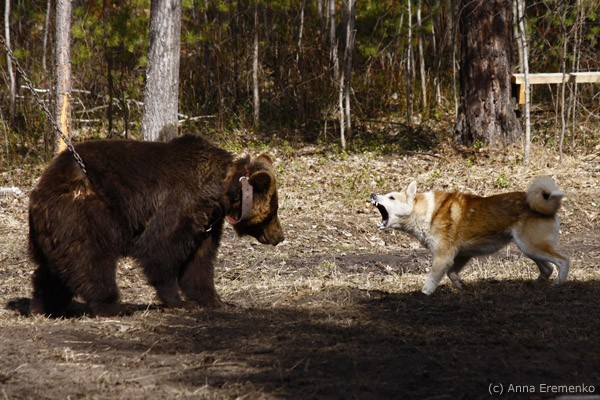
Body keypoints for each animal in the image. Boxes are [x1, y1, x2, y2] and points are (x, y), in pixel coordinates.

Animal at [18, 134, 284, 317]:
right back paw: (112, 305)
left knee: (53, 269)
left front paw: (214, 299)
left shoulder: (207, 223)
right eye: (274, 210)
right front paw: (178, 300)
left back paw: (42, 305)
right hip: (86, 215)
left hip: (55, 231)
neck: (221, 193)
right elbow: (159, 248)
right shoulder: (183, 202)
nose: (279, 236)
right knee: (90, 259)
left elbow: (199, 262)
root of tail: (40, 189)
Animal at [370, 176, 569, 295]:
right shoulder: (461, 255)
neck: (428, 213)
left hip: (531, 246)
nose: (372, 194)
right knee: (547, 269)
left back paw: (558, 284)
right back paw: (535, 286)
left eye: (391, 197)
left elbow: (430, 281)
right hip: (528, 248)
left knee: (563, 261)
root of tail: (550, 206)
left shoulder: (443, 257)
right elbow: (452, 274)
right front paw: (461, 287)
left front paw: (422, 295)